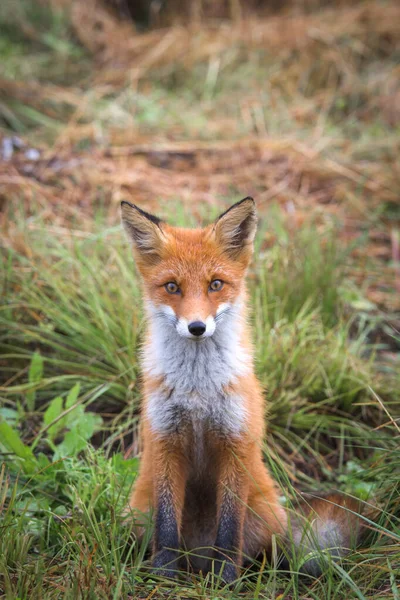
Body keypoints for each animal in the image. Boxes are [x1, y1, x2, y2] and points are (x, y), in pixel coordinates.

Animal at [119, 199, 362, 584]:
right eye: (172, 287)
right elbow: (167, 525)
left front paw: (225, 578)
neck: (197, 392)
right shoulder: (165, 441)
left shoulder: (236, 443)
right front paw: (163, 577)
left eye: (215, 284)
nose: (197, 327)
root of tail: (197, 556)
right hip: (138, 508)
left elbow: (230, 527)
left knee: (266, 552)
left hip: (264, 514)